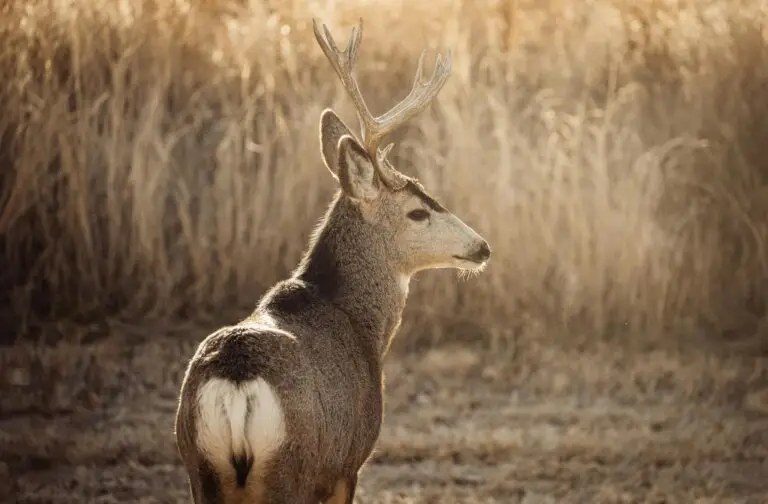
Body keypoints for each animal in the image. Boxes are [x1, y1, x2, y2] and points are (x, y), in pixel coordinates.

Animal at [174, 18, 491, 504]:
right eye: (418, 211)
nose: (481, 247)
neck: (360, 322)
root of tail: (235, 383)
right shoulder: (348, 464)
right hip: (292, 469)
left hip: (199, 469)